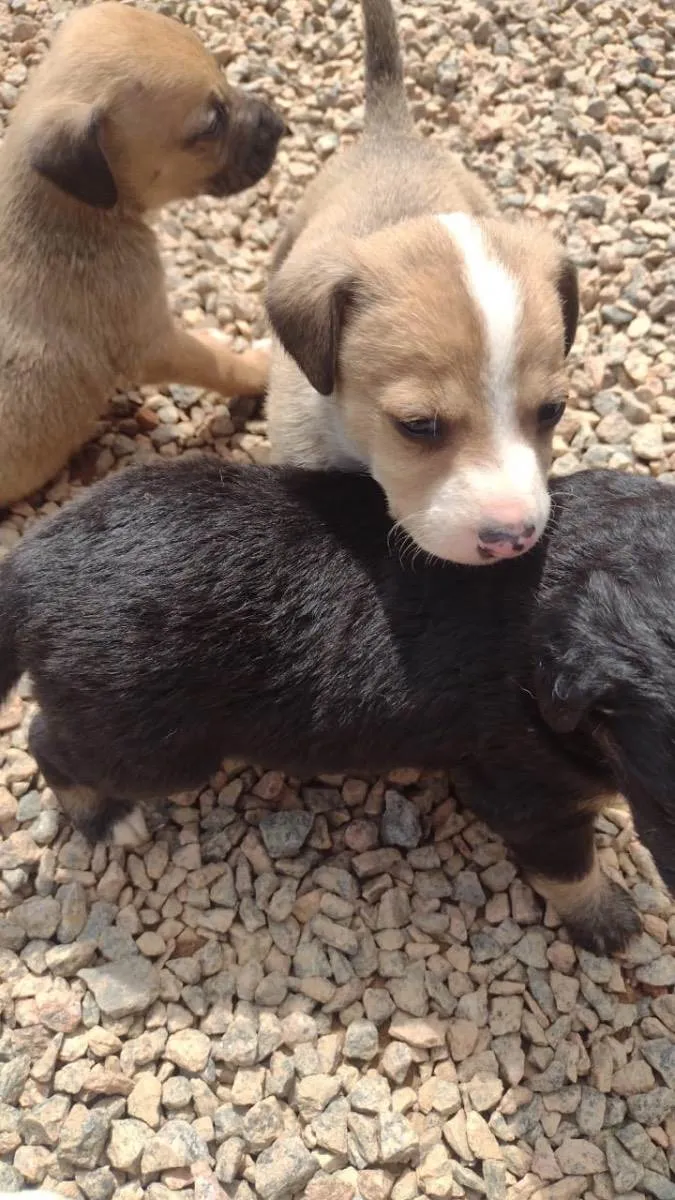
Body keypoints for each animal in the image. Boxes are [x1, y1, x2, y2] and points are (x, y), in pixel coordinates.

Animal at [0, 460, 667, 955]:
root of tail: (29, 568)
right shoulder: (527, 790)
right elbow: (569, 869)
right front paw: (609, 921)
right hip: (149, 743)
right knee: (48, 743)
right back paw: (104, 817)